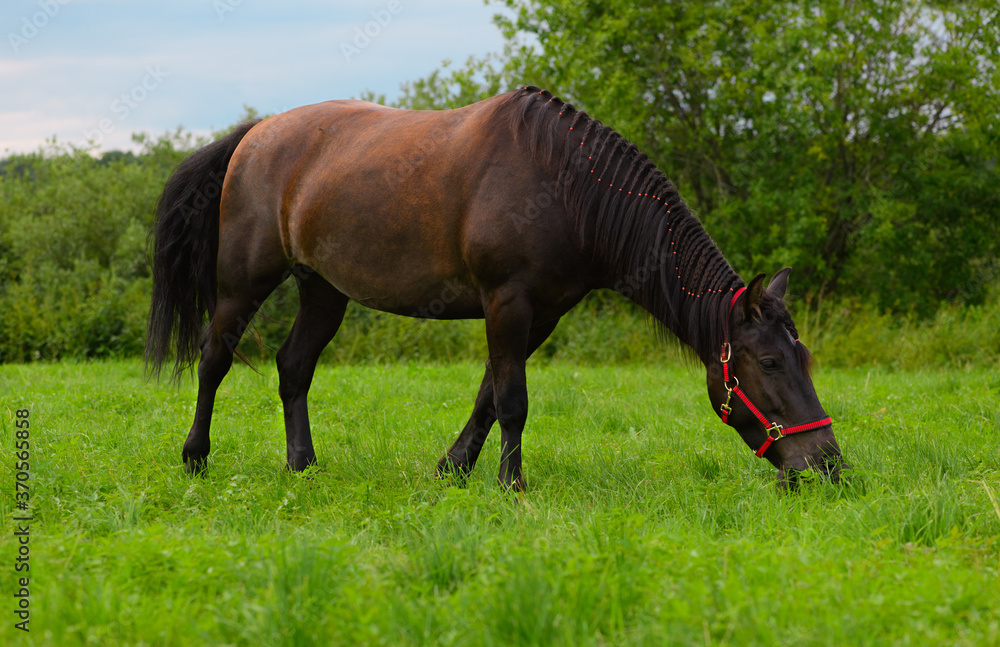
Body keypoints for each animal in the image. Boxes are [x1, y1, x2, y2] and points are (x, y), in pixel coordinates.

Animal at [146, 87, 844, 492]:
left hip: (324, 290)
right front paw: (511, 485)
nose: (828, 466)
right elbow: (513, 400)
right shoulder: (507, 301)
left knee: (294, 367)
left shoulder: (540, 314)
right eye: (770, 362)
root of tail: (253, 134)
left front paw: (454, 469)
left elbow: (488, 394)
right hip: (244, 282)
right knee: (213, 359)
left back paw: (302, 465)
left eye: (804, 357)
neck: (567, 187)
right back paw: (195, 458)